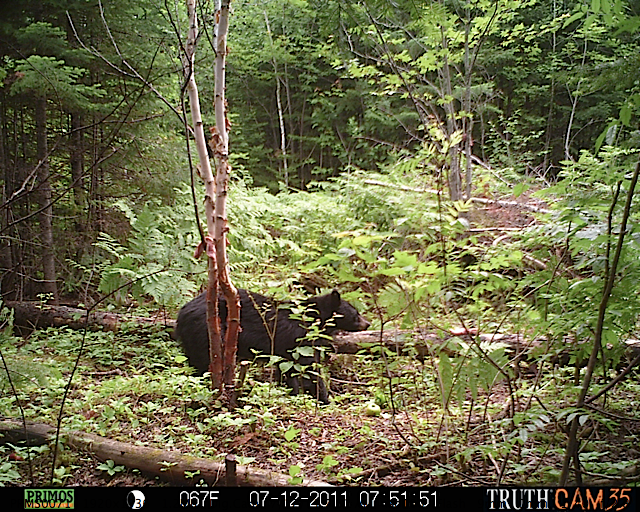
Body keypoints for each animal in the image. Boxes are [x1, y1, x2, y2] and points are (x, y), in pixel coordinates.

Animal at [175, 288, 370, 404]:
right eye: (356, 314)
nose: (367, 323)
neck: (313, 319)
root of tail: (181, 313)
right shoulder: (299, 339)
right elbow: (310, 369)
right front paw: (324, 399)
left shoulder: (287, 350)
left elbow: (289, 370)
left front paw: (291, 392)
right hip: (206, 332)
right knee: (205, 362)